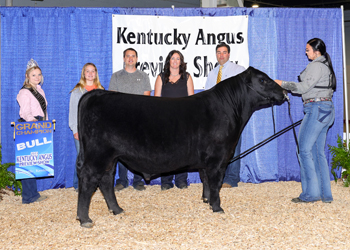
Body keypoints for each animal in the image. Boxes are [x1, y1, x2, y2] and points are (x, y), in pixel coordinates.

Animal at [75, 66, 286, 227]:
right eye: (263, 80)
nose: (283, 92)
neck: (229, 108)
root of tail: (97, 94)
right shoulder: (218, 157)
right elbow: (215, 182)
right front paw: (217, 207)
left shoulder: (207, 160)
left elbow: (206, 179)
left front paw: (206, 200)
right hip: (98, 154)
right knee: (89, 179)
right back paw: (85, 219)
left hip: (110, 158)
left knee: (105, 180)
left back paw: (117, 209)